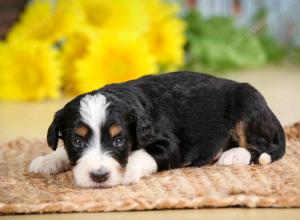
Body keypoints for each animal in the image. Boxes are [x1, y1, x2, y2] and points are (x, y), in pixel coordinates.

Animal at [28, 72, 286, 187]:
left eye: (119, 140)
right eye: (77, 141)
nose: (99, 176)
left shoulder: (172, 144)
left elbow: (143, 154)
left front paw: (126, 171)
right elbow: (63, 151)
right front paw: (47, 160)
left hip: (247, 105)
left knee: (261, 145)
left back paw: (232, 155)